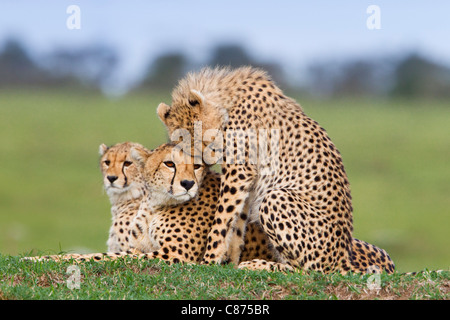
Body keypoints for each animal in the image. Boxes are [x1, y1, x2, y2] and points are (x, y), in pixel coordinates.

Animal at [156, 64, 396, 272]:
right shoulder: (247, 180)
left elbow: (222, 218)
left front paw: (208, 261)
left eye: (203, 138)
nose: (204, 161)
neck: (228, 100)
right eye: (184, 145)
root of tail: (341, 259)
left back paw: (260, 265)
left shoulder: (239, 171)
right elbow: (236, 223)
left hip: (276, 198)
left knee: (309, 271)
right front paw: (230, 262)